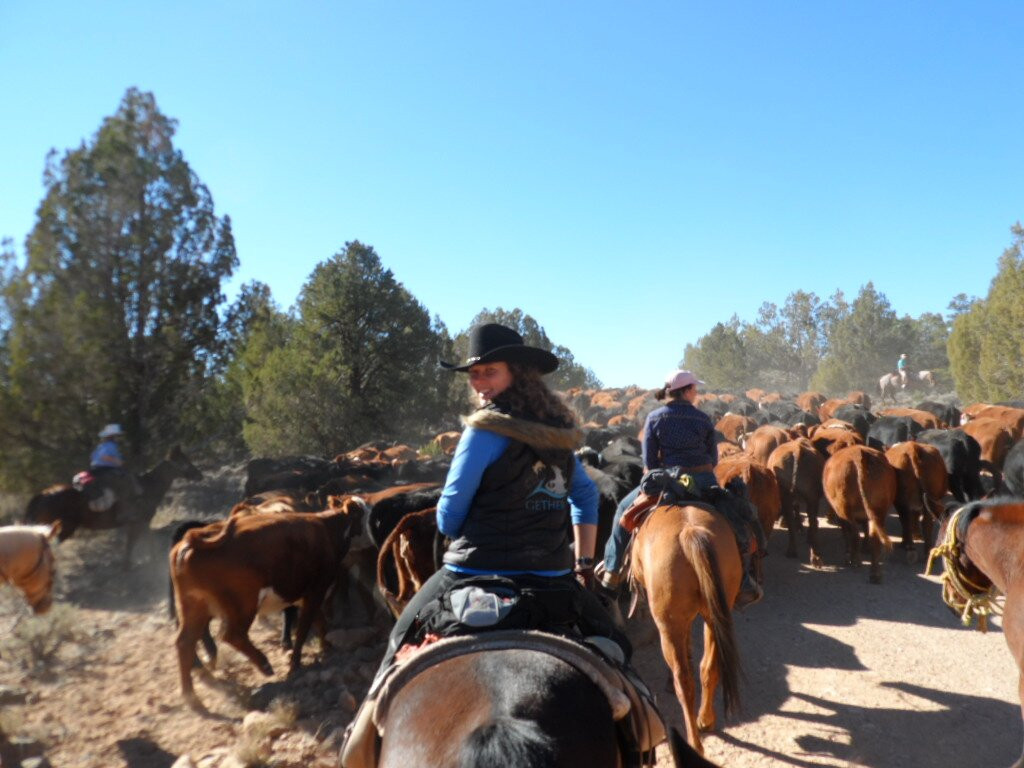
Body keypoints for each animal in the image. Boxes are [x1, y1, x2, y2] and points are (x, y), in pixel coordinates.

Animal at [25, 448, 201, 569]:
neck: (147, 487)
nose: (198, 474)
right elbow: (134, 543)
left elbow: (144, 540)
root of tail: (41, 496)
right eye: (184, 461)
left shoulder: (141, 522)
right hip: (65, 528)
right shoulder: (138, 522)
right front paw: (132, 565)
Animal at [173, 499, 368, 708]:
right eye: (362, 514)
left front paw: (326, 647)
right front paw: (295, 663)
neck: (327, 528)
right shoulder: (316, 590)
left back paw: (190, 693)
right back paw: (264, 664)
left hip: (194, 607)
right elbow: (304, 628)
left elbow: (319, 622)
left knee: (185, 642)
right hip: (243, 605)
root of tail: (195, 538)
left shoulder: (308, 594)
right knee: (231, 634)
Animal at [626, 505, 741, 757]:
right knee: (708, 667)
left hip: (669, 624)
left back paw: (694, 742)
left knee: (684, 681)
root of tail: (690, 532)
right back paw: (705, 720)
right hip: (715, 615)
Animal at [819, 444, 892, 581]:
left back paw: (854, 560)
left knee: (854, 534)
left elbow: (846, 532)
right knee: (875, 539)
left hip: (843, 508)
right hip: (879, 510)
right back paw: (875, 574)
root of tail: (859, 455)